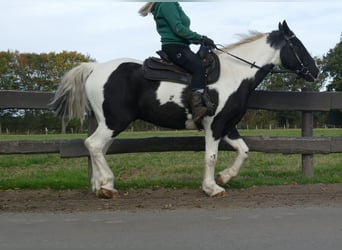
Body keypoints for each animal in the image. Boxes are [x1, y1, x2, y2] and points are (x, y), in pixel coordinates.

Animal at [52, 20, 320, 198]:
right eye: (298, 45)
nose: (315, 71)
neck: (236, 73)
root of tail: (95, 68)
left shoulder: (228, 125)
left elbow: (244, 151)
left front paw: (224, 177)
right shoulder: (214, 125)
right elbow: (211, 157)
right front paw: (212, 187)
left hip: (108, 122)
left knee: (99, 148)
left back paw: (102, 186)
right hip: (115, 121)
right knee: (94, 144)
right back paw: (106, 185)